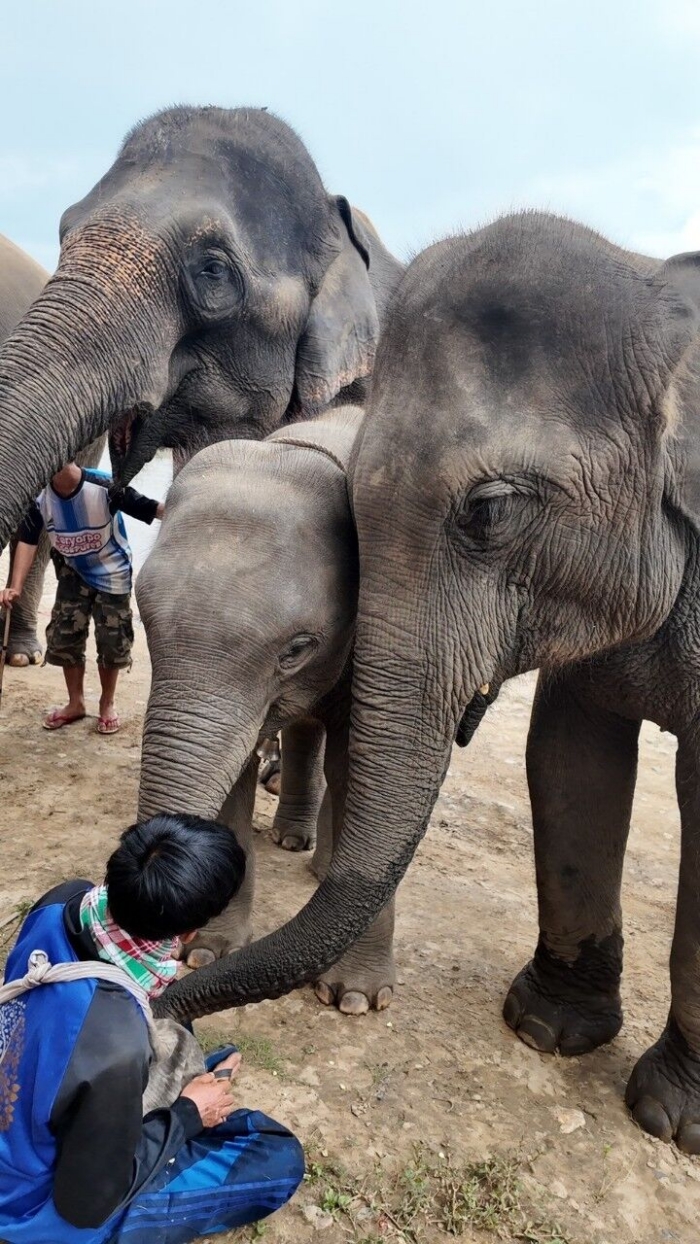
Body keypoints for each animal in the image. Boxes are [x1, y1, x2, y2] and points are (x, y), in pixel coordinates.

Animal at [136, 405, 394, 1014]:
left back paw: (319, 865)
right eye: (143, 618)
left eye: (296, 649)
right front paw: (207, 954)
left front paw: (355, 998)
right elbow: (234, 768)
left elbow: (361, 769)